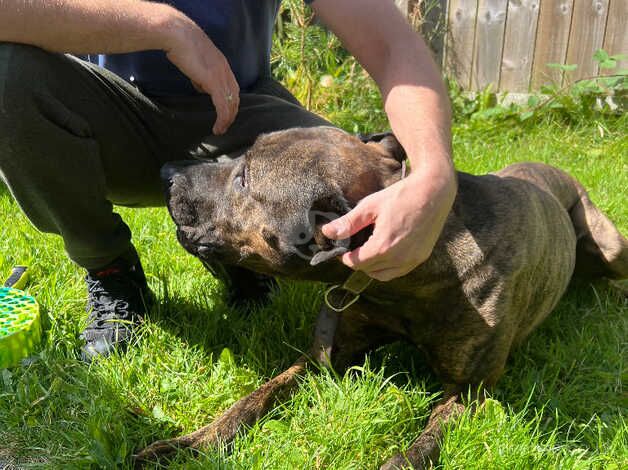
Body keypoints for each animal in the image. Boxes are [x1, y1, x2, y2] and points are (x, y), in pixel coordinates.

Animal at [137, 126, 628, 468]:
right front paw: (185, 444)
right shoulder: (326, 354)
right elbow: (251, 400)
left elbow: (423, 444)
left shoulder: (470, 391)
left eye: (243, 179)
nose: (166, 171)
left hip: (609, 246)